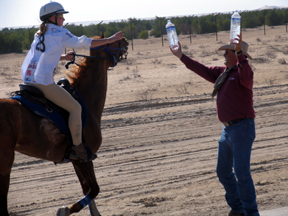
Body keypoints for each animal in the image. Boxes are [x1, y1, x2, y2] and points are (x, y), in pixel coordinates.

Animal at [0, 36, 128, 215]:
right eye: (112, 43)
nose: (126, 41)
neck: (85, 100)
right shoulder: (84, 157)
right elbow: (94, 190)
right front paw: (67, 209)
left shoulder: (76, 159)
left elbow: (88, 190)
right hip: (5, 163)